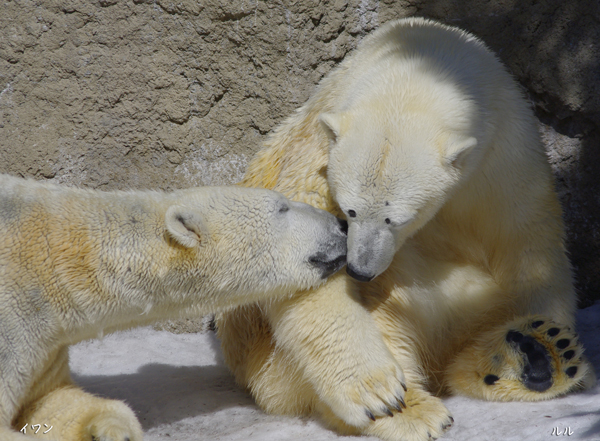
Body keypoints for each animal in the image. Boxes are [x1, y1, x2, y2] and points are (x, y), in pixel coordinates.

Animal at [0, 173, 346, 440]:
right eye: (282, 207)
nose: (341, 224)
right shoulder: (13, 325)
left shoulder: (45, 342)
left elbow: (51, 398)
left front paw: (111, 429)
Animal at [218, 16, 596, 440]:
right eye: (348, 210)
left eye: (397, 218)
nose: (359, 269)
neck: (420, 57)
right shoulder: (318, 148)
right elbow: (304, 260)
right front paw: (378, 394)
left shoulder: (506, 153)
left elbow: (528, 246)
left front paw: (551, 342)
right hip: (270, 361)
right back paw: (415, 408)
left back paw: (536, 356)